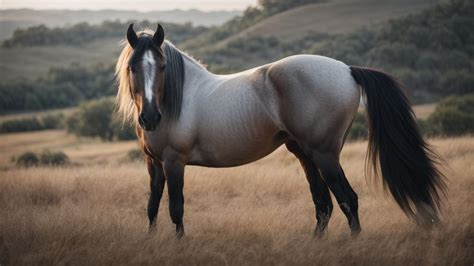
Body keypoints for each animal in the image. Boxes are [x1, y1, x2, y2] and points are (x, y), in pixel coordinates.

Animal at [115, 23, 444, 238]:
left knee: (347, 199)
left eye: (161, 67)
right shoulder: (154, 163)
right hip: (305, 153)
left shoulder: (174, 162)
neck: (175, 99)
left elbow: (176, 208)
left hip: (325, 155)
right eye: (133, 67)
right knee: (323, 204)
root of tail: (348, 69)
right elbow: (152, 206)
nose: (150, 118)